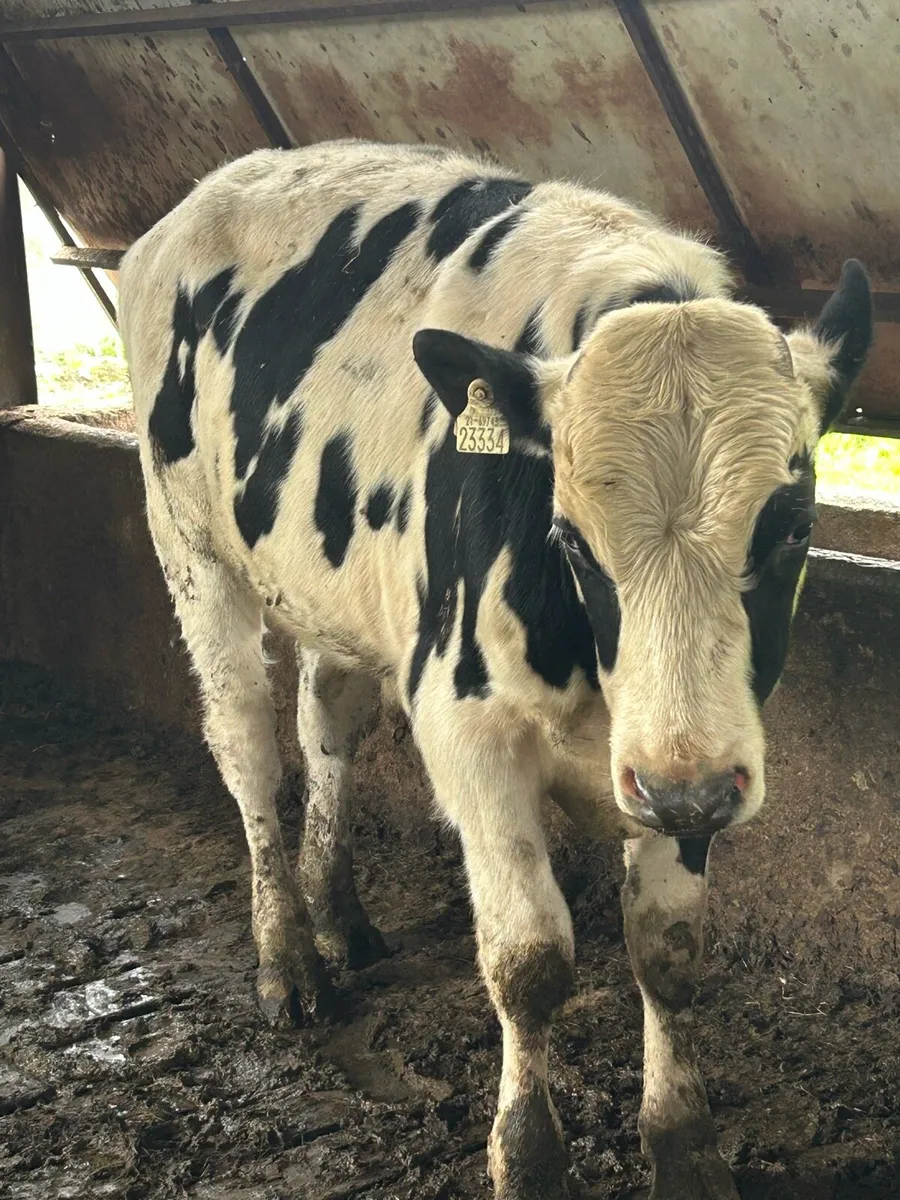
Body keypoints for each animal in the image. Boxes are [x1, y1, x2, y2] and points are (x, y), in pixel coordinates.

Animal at [118, 139, 873, 1200]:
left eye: (797, 527)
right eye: (571, 537)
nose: (680, 791)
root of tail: (208, 193)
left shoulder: (692, 761)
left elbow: (670, 952)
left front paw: (685, 1149)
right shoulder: (468, 730)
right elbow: (529, 962)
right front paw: (528, 1158)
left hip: (333, 598)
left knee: (327, 725)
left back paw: (340, 914)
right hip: (193, 552)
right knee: (250, 751)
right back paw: (289, 959)